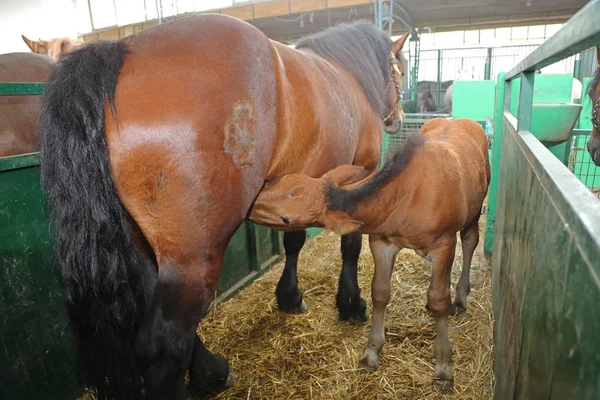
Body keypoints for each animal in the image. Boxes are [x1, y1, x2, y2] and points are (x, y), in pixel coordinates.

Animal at [251, 117, 490, 392]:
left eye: (286, 219)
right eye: (285, 180)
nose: (251, 205)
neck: (405, 196)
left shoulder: (443, 245)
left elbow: (440, 300)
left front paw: (443, 367)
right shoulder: (381, 243)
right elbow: (380, 293)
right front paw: (371, 352)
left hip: (474, 212)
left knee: (470, 241)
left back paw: (460, 298)